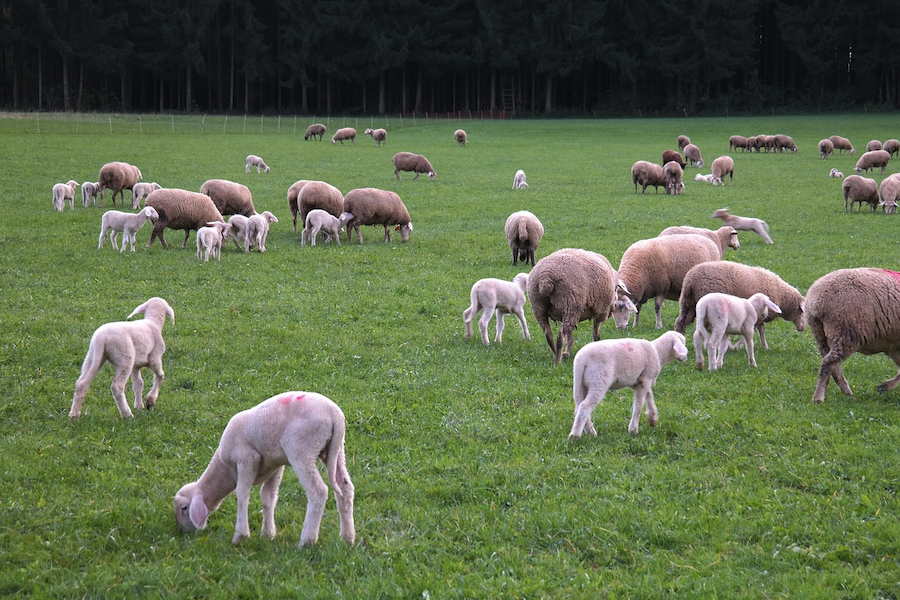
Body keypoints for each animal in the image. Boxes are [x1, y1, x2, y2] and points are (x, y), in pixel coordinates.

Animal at [172, 390, 356, 548]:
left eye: (184, 508)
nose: (183, 531)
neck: (224, 469)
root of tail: (334, 415)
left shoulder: (247, 459)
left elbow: (242, 494)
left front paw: (240, 535)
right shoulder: (275, 465)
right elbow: (268, 497)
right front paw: (268, 534)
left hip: (302, 450)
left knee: (318, 491)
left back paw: (307, 541)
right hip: (336, 450)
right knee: (345, 487)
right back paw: (347, 537)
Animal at [672, 262, 804, 346]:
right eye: (802, 312)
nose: (802, 328)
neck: (782, 296)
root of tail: (690, 280)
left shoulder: (759, 316)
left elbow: (761, 330)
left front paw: (764, 346)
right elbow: (757, 330)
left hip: (688, 304)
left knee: (681, 322)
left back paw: (680, 340)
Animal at [804, 270, 900, 404]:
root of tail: (815, 299)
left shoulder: (893, 346)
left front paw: (884, 386)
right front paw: (884, 387)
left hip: (821, 334)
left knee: (834, 367)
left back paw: (848, 394)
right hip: (845, 333)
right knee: (828, 364)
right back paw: (818, 399)